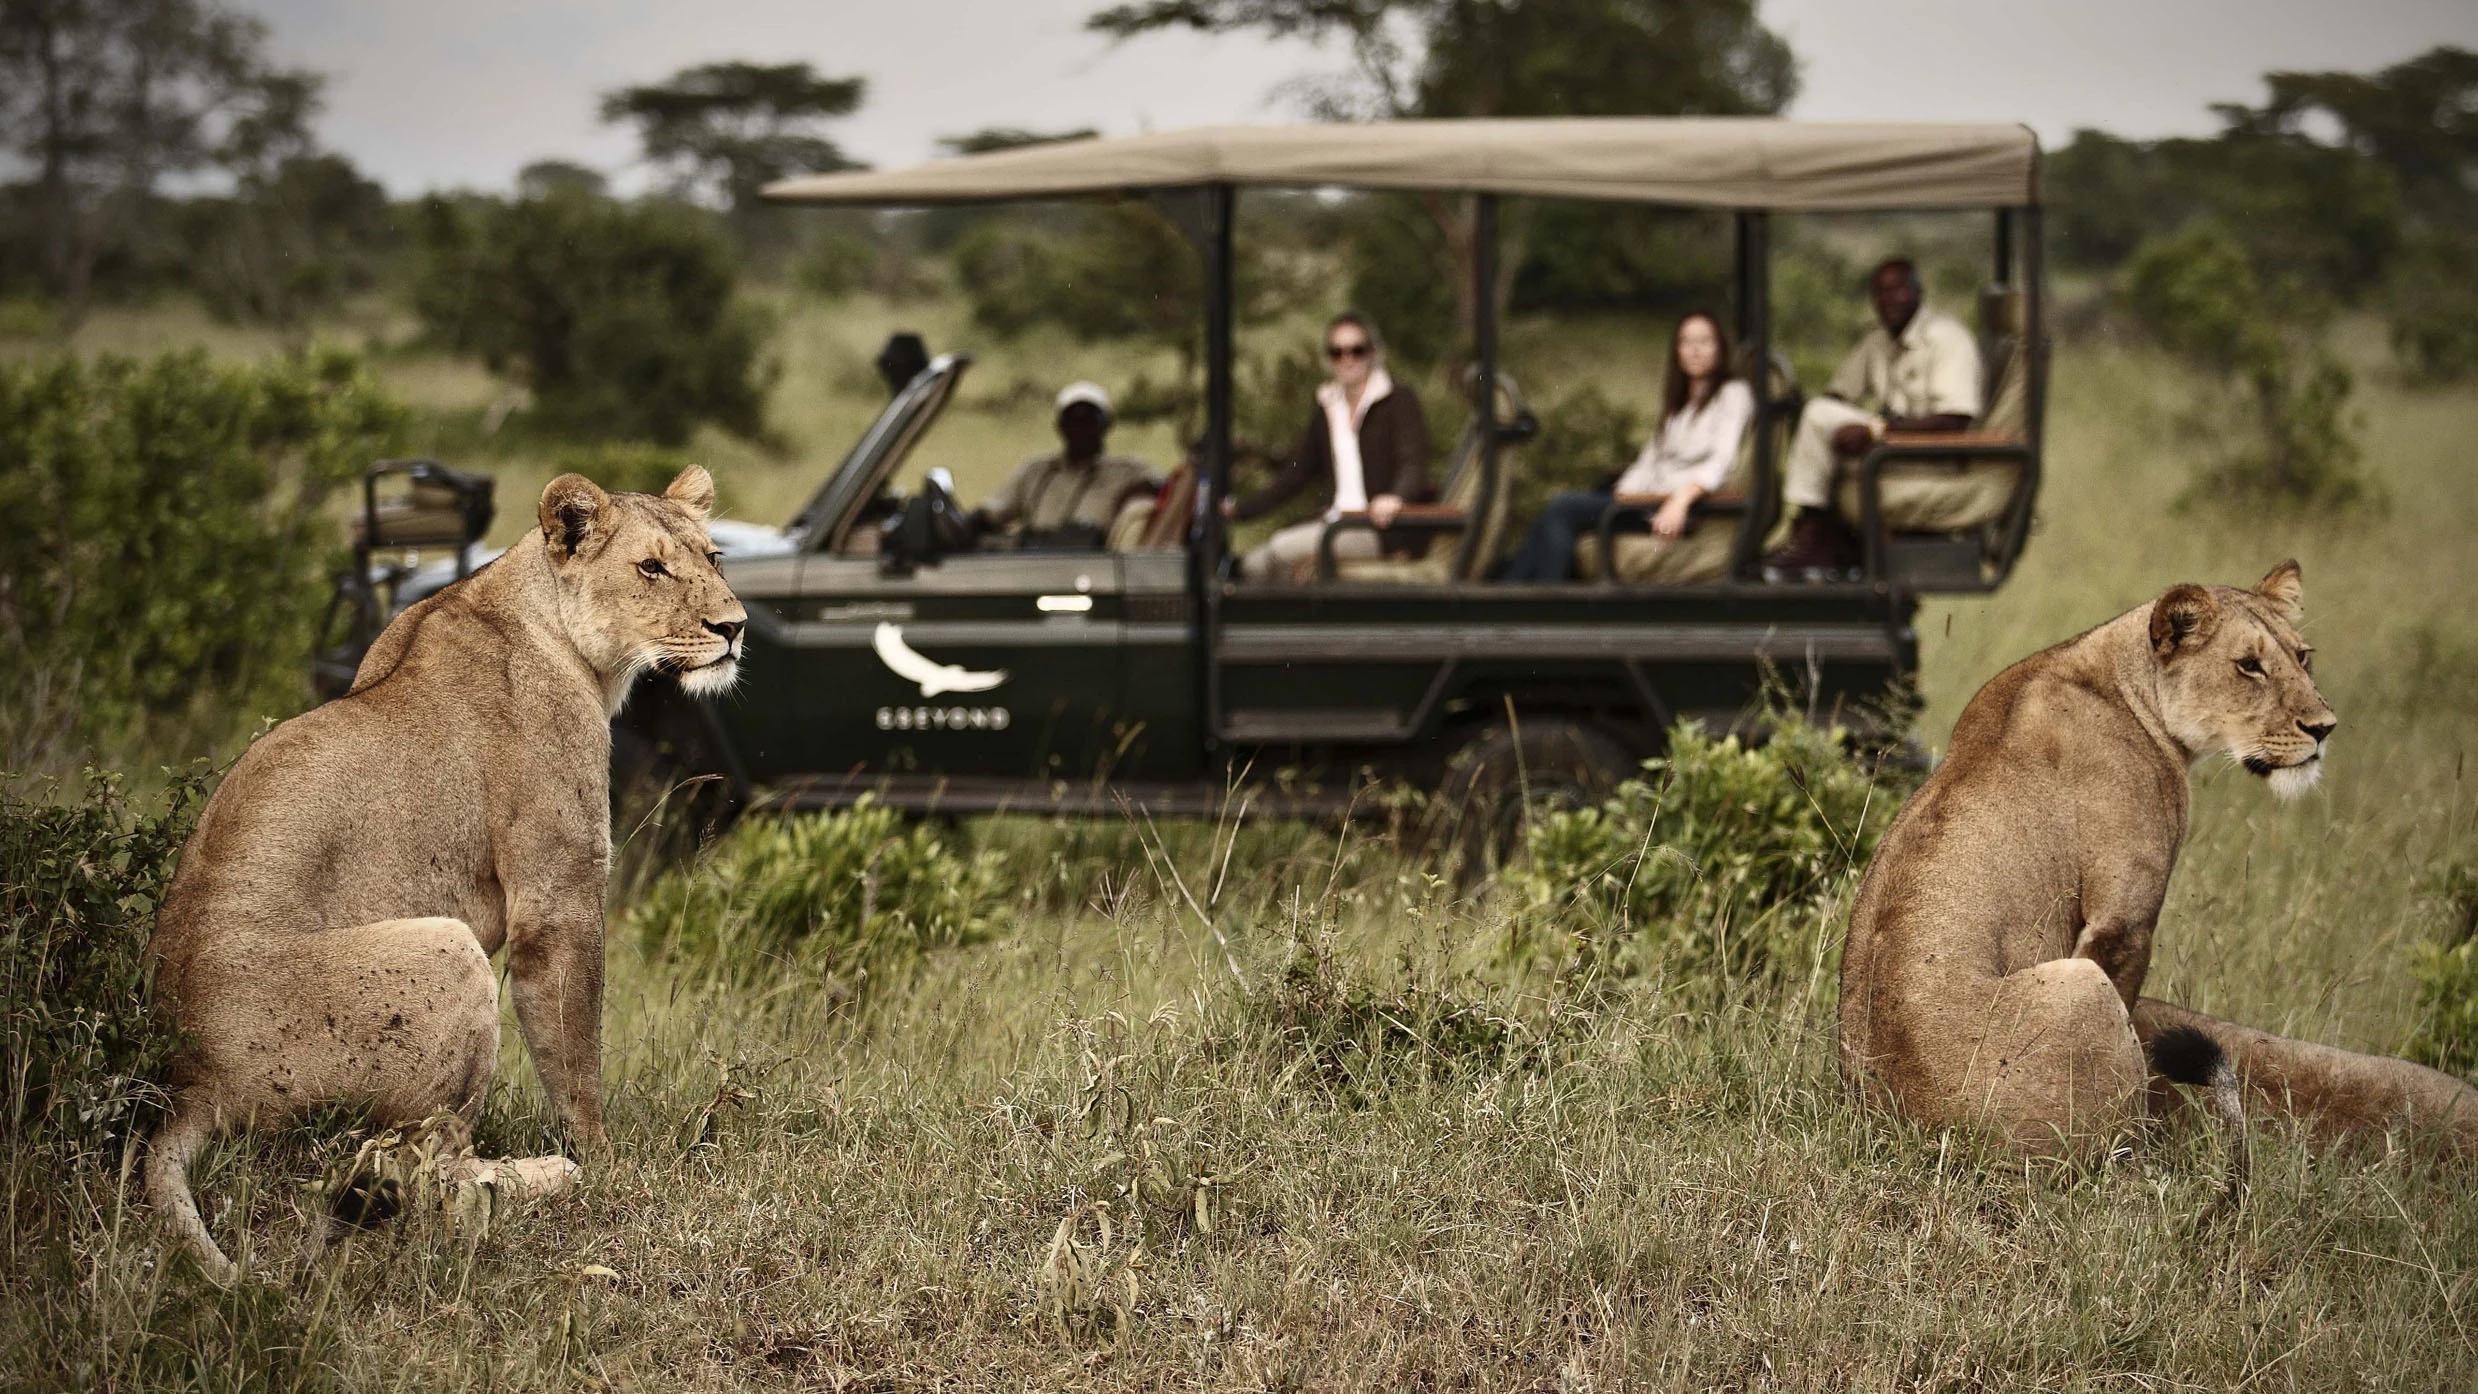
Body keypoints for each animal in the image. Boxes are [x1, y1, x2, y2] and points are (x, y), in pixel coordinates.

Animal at [144, 467, 746, 1284]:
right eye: (651, 568)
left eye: (714, 557)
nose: (734, 627)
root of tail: (190, 1077)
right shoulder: (557, 897)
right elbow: (574, 1049)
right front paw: (605, 1160)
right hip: (445, 951)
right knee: (414, 1168)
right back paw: (546, 1176)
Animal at [1840, 562, 2478, 1158]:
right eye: (2249, 666)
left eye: (2303, 658)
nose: (2324, 728)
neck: (2127, 686)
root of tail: (1915, 1130)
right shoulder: (2122, 919)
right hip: (2081, 988)